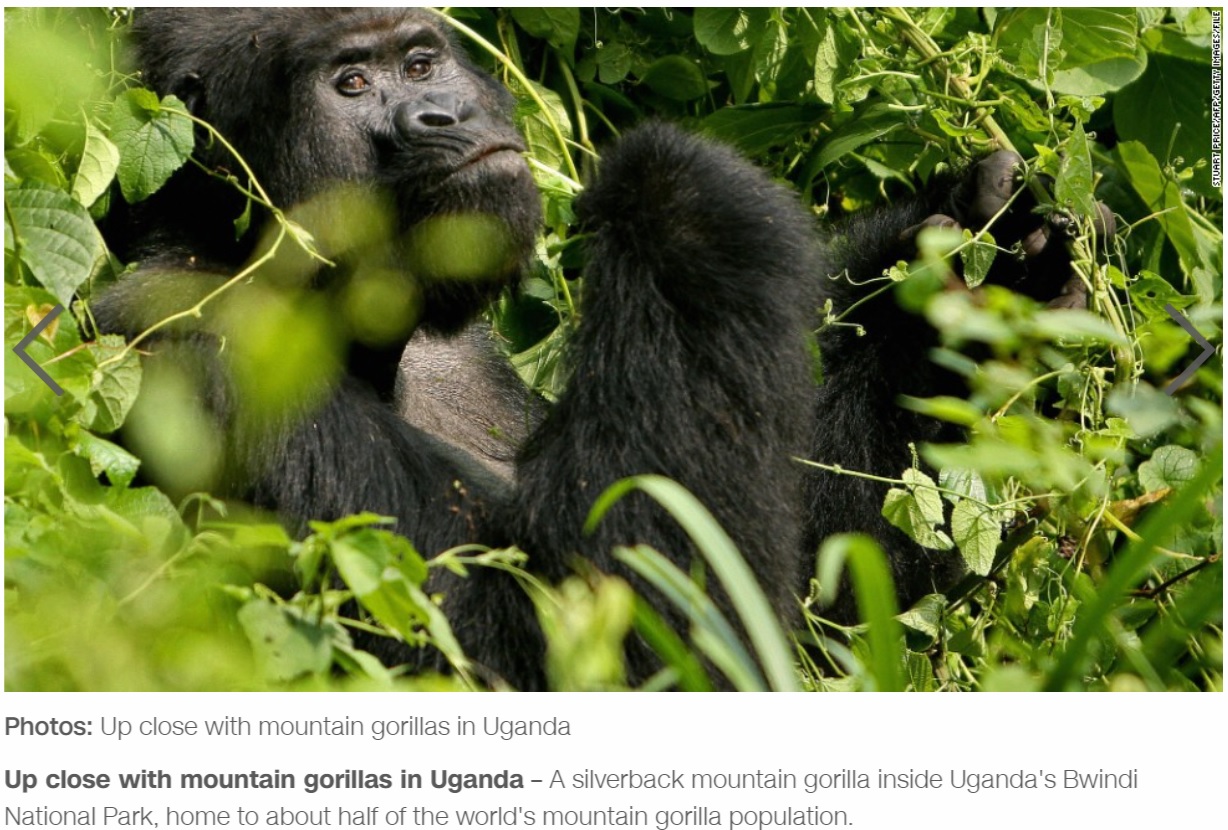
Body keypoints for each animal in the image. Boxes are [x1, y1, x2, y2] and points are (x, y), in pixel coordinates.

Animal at [93, 9, 1095, 692]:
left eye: (419, 61)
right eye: (350, 85)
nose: (442, 111)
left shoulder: (467, 354)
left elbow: (830, 615)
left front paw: (963, 287)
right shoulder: (194, 349)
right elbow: (576, 638)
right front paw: (677, 192)